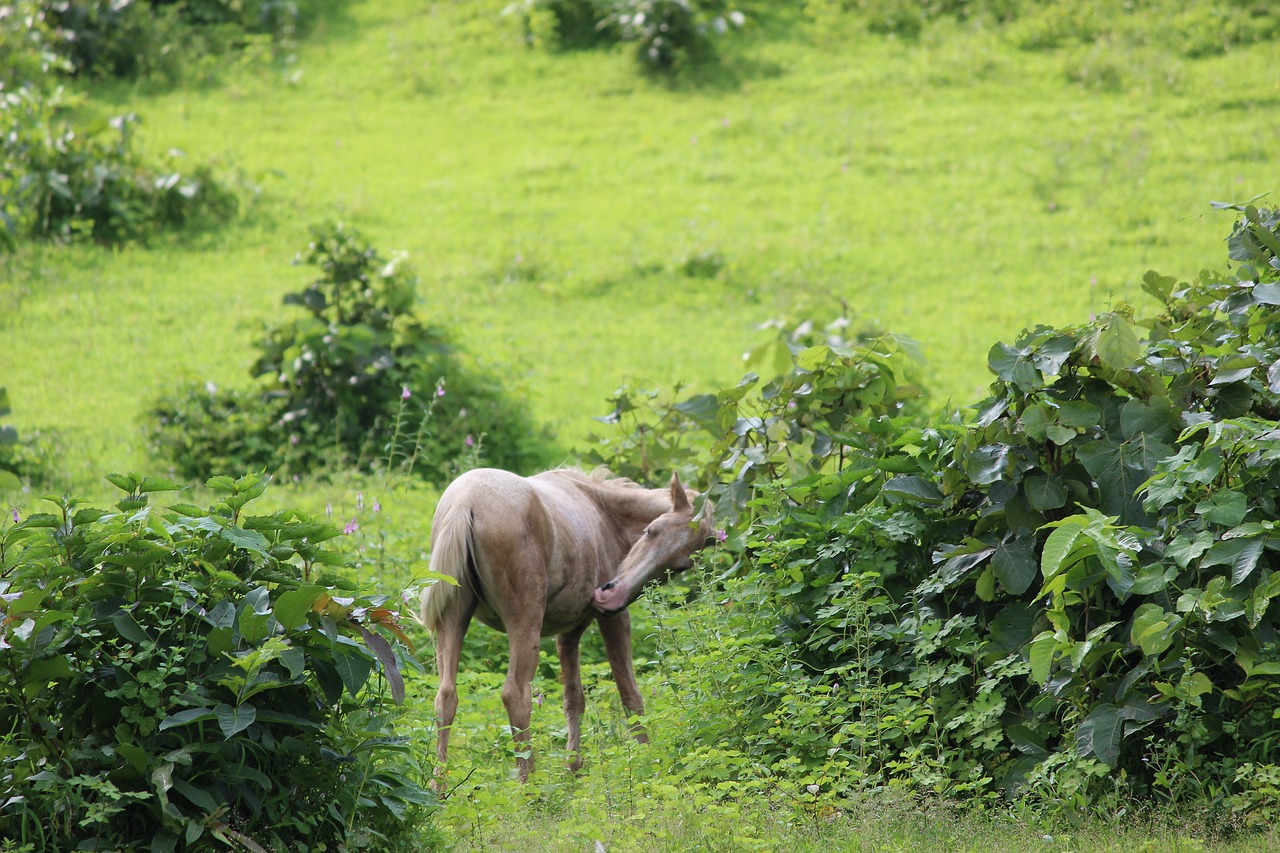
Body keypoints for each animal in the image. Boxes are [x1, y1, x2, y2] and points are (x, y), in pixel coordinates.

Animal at [417, 468, 711, 778]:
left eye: (681, 565)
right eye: (651, 530)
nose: (609, 597)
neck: (603, 511)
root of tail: (466, 500)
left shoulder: (569, 633)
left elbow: (573, 699)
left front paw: (573, 769)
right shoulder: (614, 621)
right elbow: (629, 695)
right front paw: (646, 759)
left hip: (453, 620)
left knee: (446, 697)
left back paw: (438, 784)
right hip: (525, 624)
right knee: (516, 695)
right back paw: (529, 782)